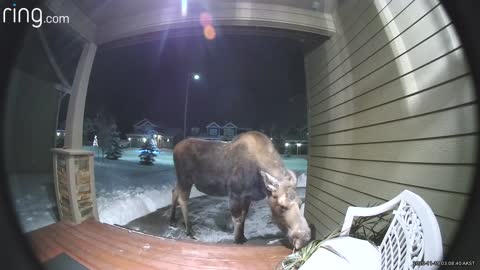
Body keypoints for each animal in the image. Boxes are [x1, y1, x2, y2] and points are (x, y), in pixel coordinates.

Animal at [169, 131, 312, 249]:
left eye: (300, 202)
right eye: (282, 206)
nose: (305, 237)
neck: (259, 183)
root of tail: (175, 148)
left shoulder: (247, 196)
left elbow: (244, 217)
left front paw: (243, 237)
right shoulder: (234, 194)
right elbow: (237, 218)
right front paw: (237, 240)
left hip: (180, 179)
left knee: (174, 191)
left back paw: (172, 220)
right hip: (185, 179)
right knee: (183, 199)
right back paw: (189, 230)